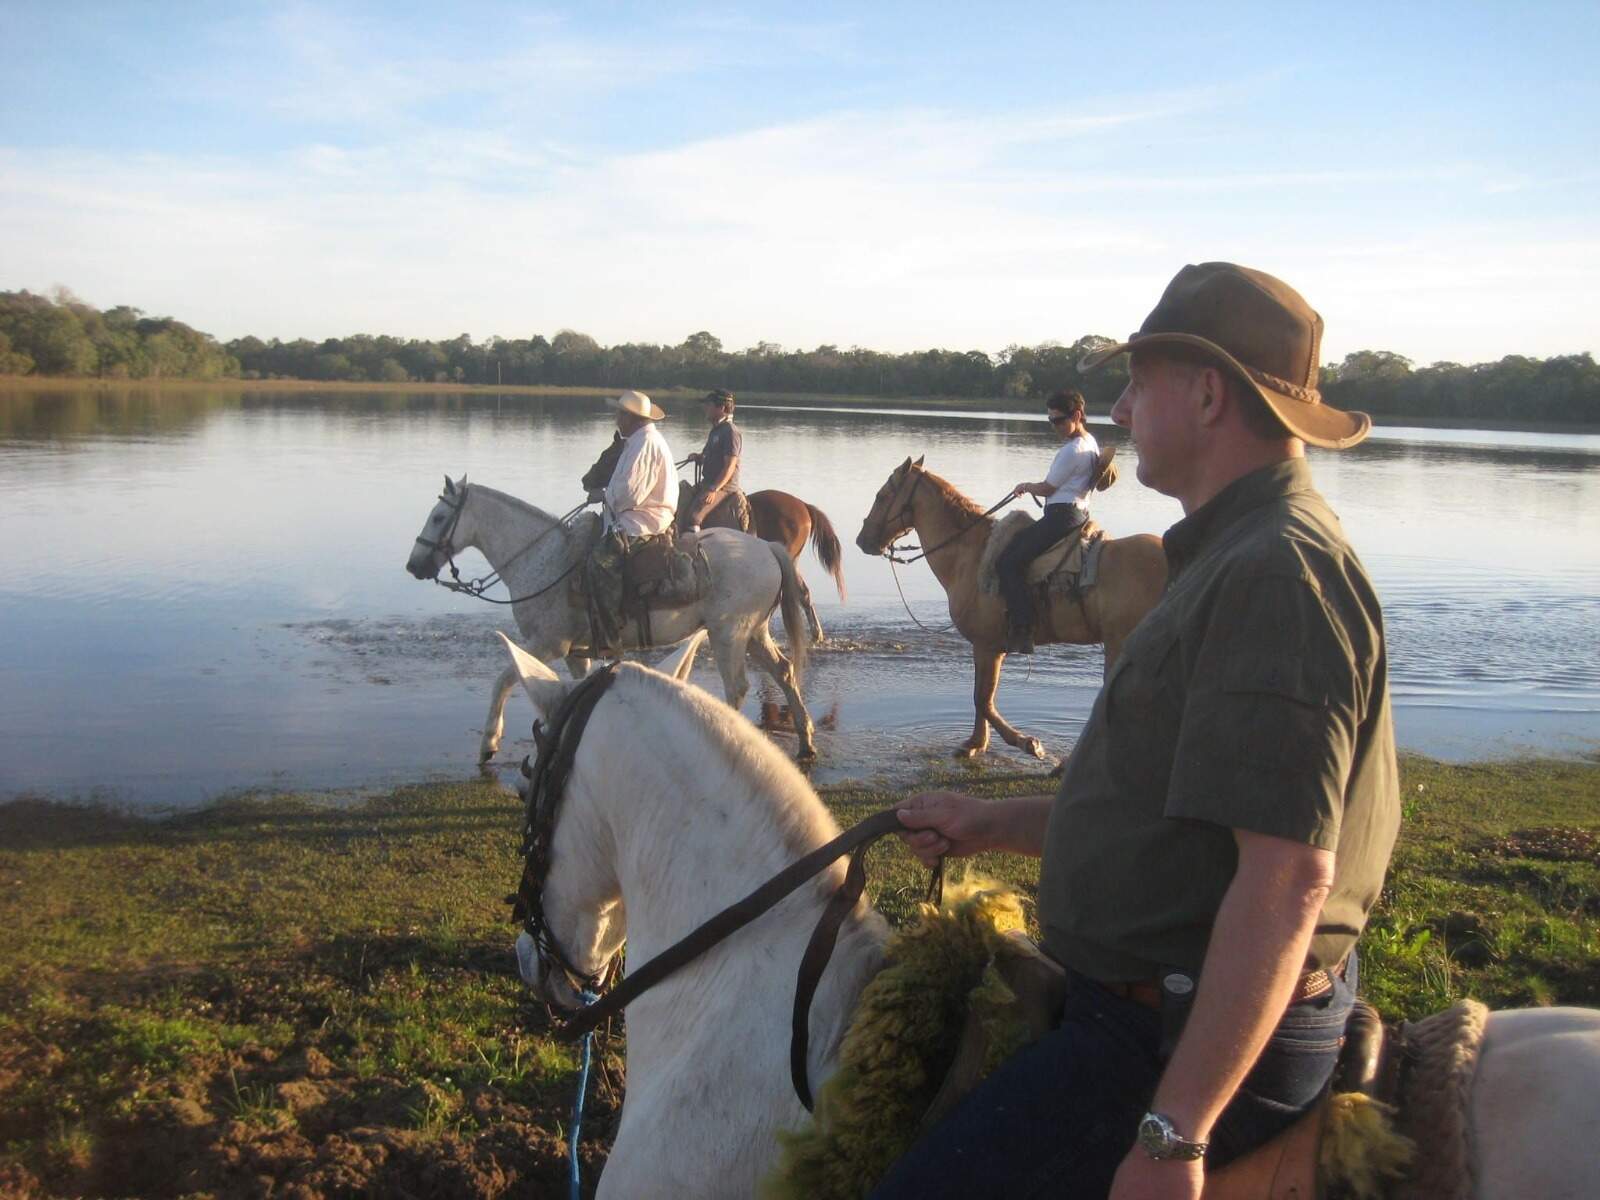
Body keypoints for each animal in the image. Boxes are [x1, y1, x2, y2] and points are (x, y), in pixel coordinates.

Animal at [406, 476, 819, 761]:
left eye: (439, 517)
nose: (414, 566)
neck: (544, 558)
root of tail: (767, 547)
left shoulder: (547, 643)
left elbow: (504, 680)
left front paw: (489, 743)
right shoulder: (575, 652)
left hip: (728, 635)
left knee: (737, 688)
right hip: (754, 633)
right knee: (784, 672)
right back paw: (806, 740)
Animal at [857, 460, 1158, 761]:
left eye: (882, 495)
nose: (862, 540)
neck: (970, 555)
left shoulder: (988, 646)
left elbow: (982, 699)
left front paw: (1026, 743)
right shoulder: (984, 647)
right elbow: (980, 696)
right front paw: (975, 743)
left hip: (1119, 647)